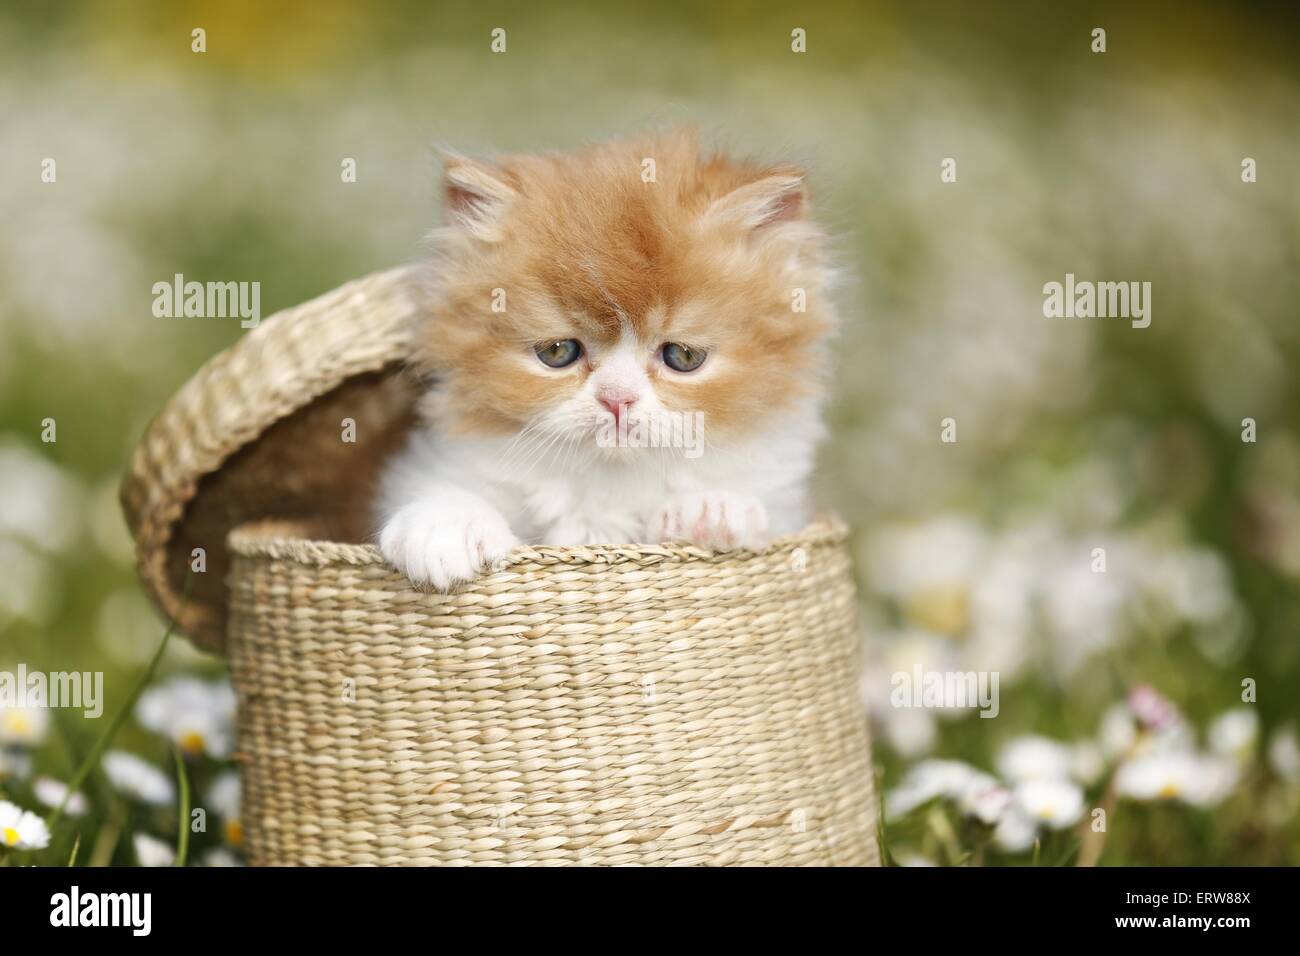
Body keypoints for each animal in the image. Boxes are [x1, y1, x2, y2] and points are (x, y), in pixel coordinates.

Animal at [377, 130, 837, 587]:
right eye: (558, 352)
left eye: (683, 356)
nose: (617, 398)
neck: (607, 482)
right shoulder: (432, 467)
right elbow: (446, 493)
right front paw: (444, 527)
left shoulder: (786, 504)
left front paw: (712, 510)